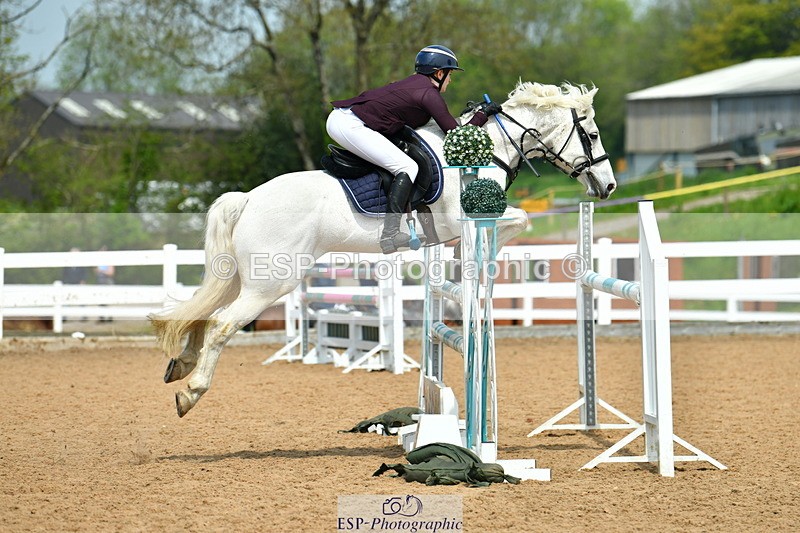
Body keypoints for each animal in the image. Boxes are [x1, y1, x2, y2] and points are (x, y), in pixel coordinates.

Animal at [151, 81, 617, 417]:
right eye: (592, 134)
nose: (609, 186)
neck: (485, 151)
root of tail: (248, 198)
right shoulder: (464, 216)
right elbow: (519, 221)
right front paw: (474, 260)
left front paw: (465, 260)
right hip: (270, 282)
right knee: (221, 324)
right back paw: (191, 392)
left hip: (244, 276)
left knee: (204, 311)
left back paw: (181, 365)